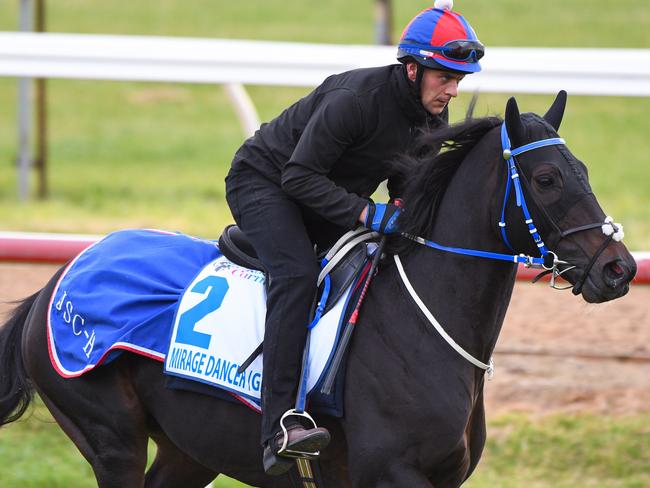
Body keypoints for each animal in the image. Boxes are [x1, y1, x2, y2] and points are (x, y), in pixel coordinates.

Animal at [0, 93, 632, 486]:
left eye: (584, 171)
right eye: (547, 179)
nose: (618, 269)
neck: (423, 323)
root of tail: (52, 286)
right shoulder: (393, 473)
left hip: (189, 450)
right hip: (111, 438)